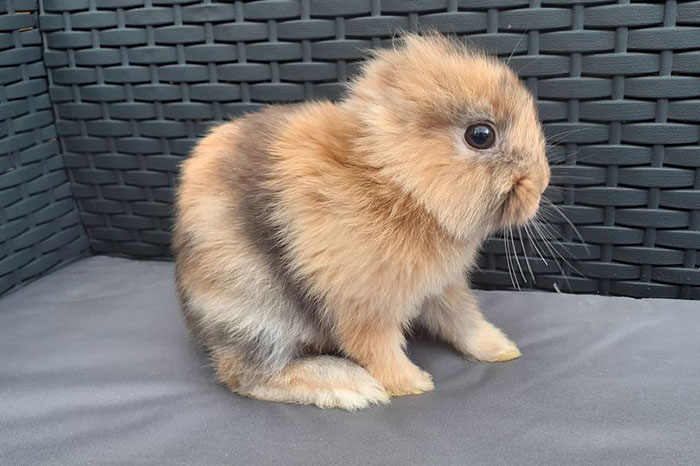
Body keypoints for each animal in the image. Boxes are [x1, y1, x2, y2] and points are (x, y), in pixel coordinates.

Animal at [173, 33, 550, 411]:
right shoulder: (365, 307)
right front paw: (413, 383)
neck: (397, 182)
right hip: (258, 312)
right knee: (247, 374)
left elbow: (464, 322)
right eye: (481, 135)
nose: (542, 183)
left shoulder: (442, 287)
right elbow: (377, 349)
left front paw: (501, 349)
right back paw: (350, 387)